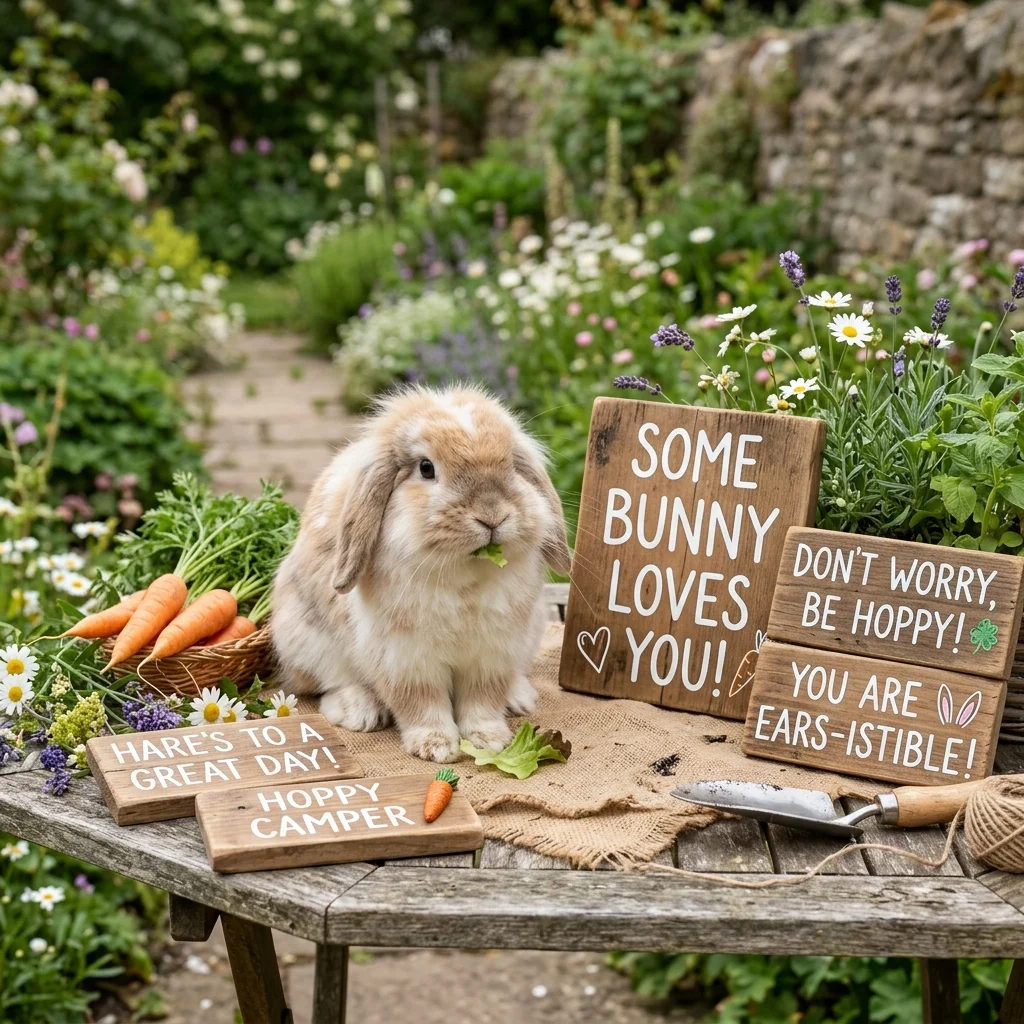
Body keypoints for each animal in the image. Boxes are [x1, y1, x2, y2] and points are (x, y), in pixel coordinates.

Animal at [270, 384, 571, 763]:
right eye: (426, 468)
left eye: (511, 466)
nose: (492, 516)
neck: (464, 574)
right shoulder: (405, 659)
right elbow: (420, 703)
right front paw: (436, 747)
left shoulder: (492, 654)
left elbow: (483, 700)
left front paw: (489, 740)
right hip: (305, 641)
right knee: (330, 683)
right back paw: (361, 712)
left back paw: (518, 697)